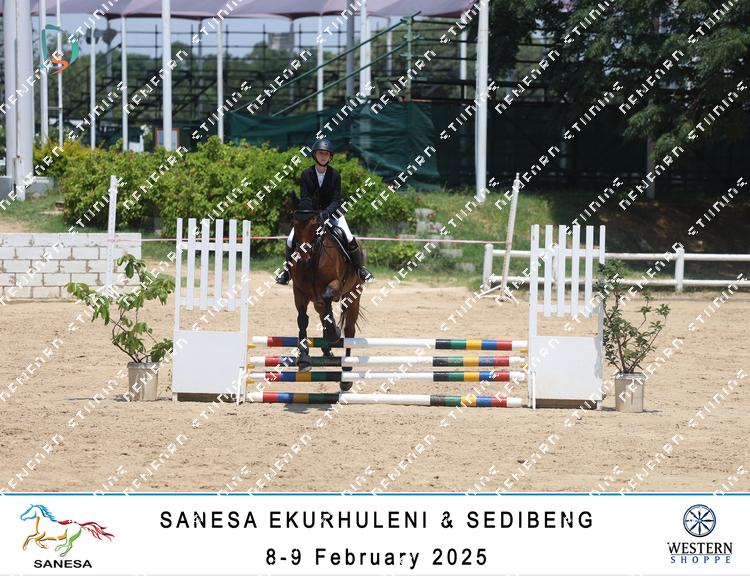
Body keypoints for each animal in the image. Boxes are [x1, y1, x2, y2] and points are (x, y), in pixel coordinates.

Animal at [289, 209, 363, 391]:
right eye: (294, 225)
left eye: (315, 225)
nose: (303, 258)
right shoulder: (299, 292)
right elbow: (302, 320)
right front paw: (304, 359)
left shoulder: (336, 286)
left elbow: (329, 296)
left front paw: (333, 333)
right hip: (318, 302)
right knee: (323, 314)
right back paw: (326, 349)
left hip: (353, 295)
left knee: (349, 331)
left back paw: (346, 377)